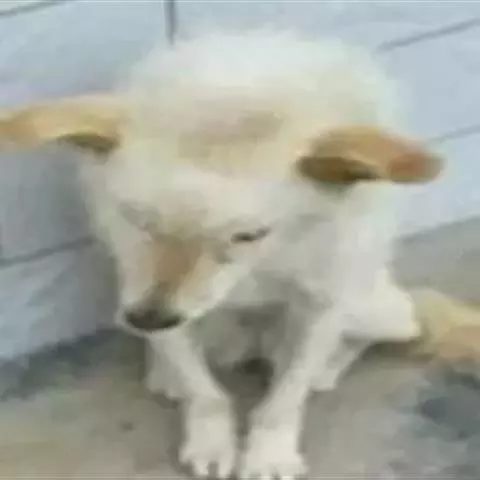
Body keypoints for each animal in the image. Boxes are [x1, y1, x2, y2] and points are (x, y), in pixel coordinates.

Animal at [1, 30, 478, 479]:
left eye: (249, 235)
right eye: (135, 217)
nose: (148, 318)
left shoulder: (323, 304)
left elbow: (285, 398)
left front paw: (270, 453)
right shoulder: (140, 290)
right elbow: (205, 392)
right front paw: (211, 439)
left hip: (371, 306)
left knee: (395, 327)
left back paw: (327, 368)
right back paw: (164, 373)